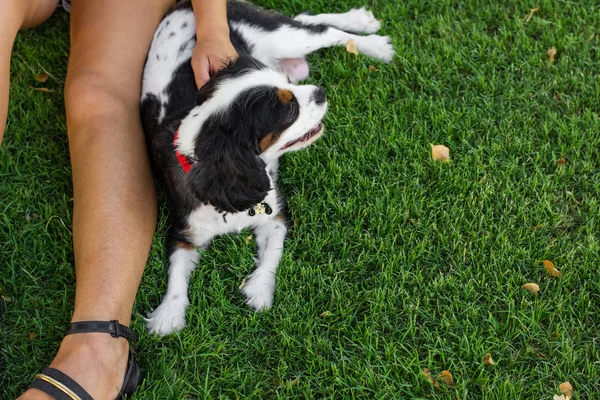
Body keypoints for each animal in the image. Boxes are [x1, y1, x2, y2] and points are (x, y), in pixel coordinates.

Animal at [141, 0, 394, 336]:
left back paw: (372, 40)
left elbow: (273, 253)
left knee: (324, 31)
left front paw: (259, 290)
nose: (320, 92)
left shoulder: (276, 214)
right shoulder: (184, 230)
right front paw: (168, 315)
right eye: (288, 111)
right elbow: (176, 272)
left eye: (288, 86)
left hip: (284, 37)